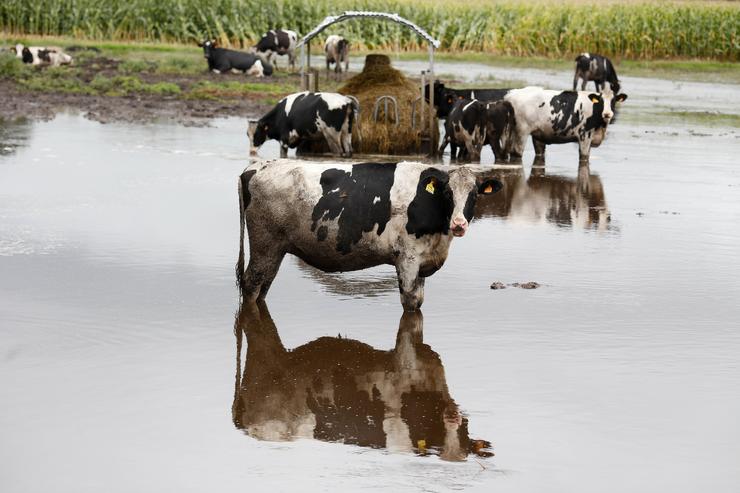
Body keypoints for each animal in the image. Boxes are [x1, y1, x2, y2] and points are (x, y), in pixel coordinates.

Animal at [237, 160, 502, 310]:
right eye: (448, 193)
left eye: (474, 194)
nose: (458, 224)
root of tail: (254, 168)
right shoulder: (407, 259)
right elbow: (411, 303)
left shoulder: (423, 261)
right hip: (264, 243)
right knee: (251, 284)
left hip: (276, 249)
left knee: (263, 286)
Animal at [500, 84, 628, 161]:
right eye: (600, 101)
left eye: (613, 101)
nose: (607, 114)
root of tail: (511, 94)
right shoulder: (584, 136)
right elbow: (584, 158)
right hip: (522, 132)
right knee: (516, 153)